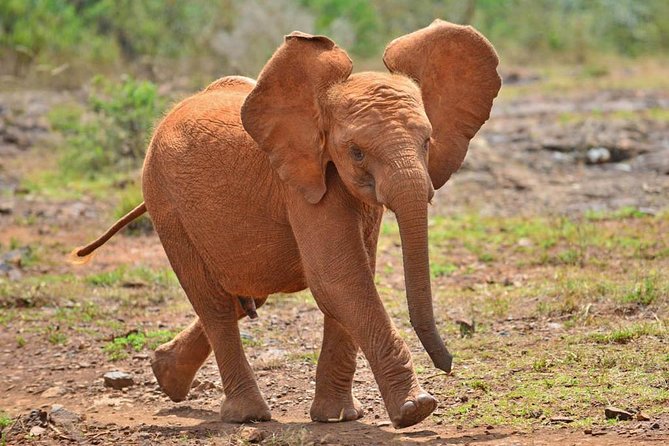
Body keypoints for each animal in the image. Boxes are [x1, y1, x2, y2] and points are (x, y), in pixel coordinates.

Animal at [73, 20, 500, 428]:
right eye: (356, 152)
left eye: (427, 141)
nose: (448, 364)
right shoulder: (301, 182)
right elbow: (339, 277)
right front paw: (416, 410)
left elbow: (354, 275)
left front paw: (338, 417)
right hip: (166, 202)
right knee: (213, 303)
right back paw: (246, 415)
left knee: (242, 294)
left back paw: (166, 376)